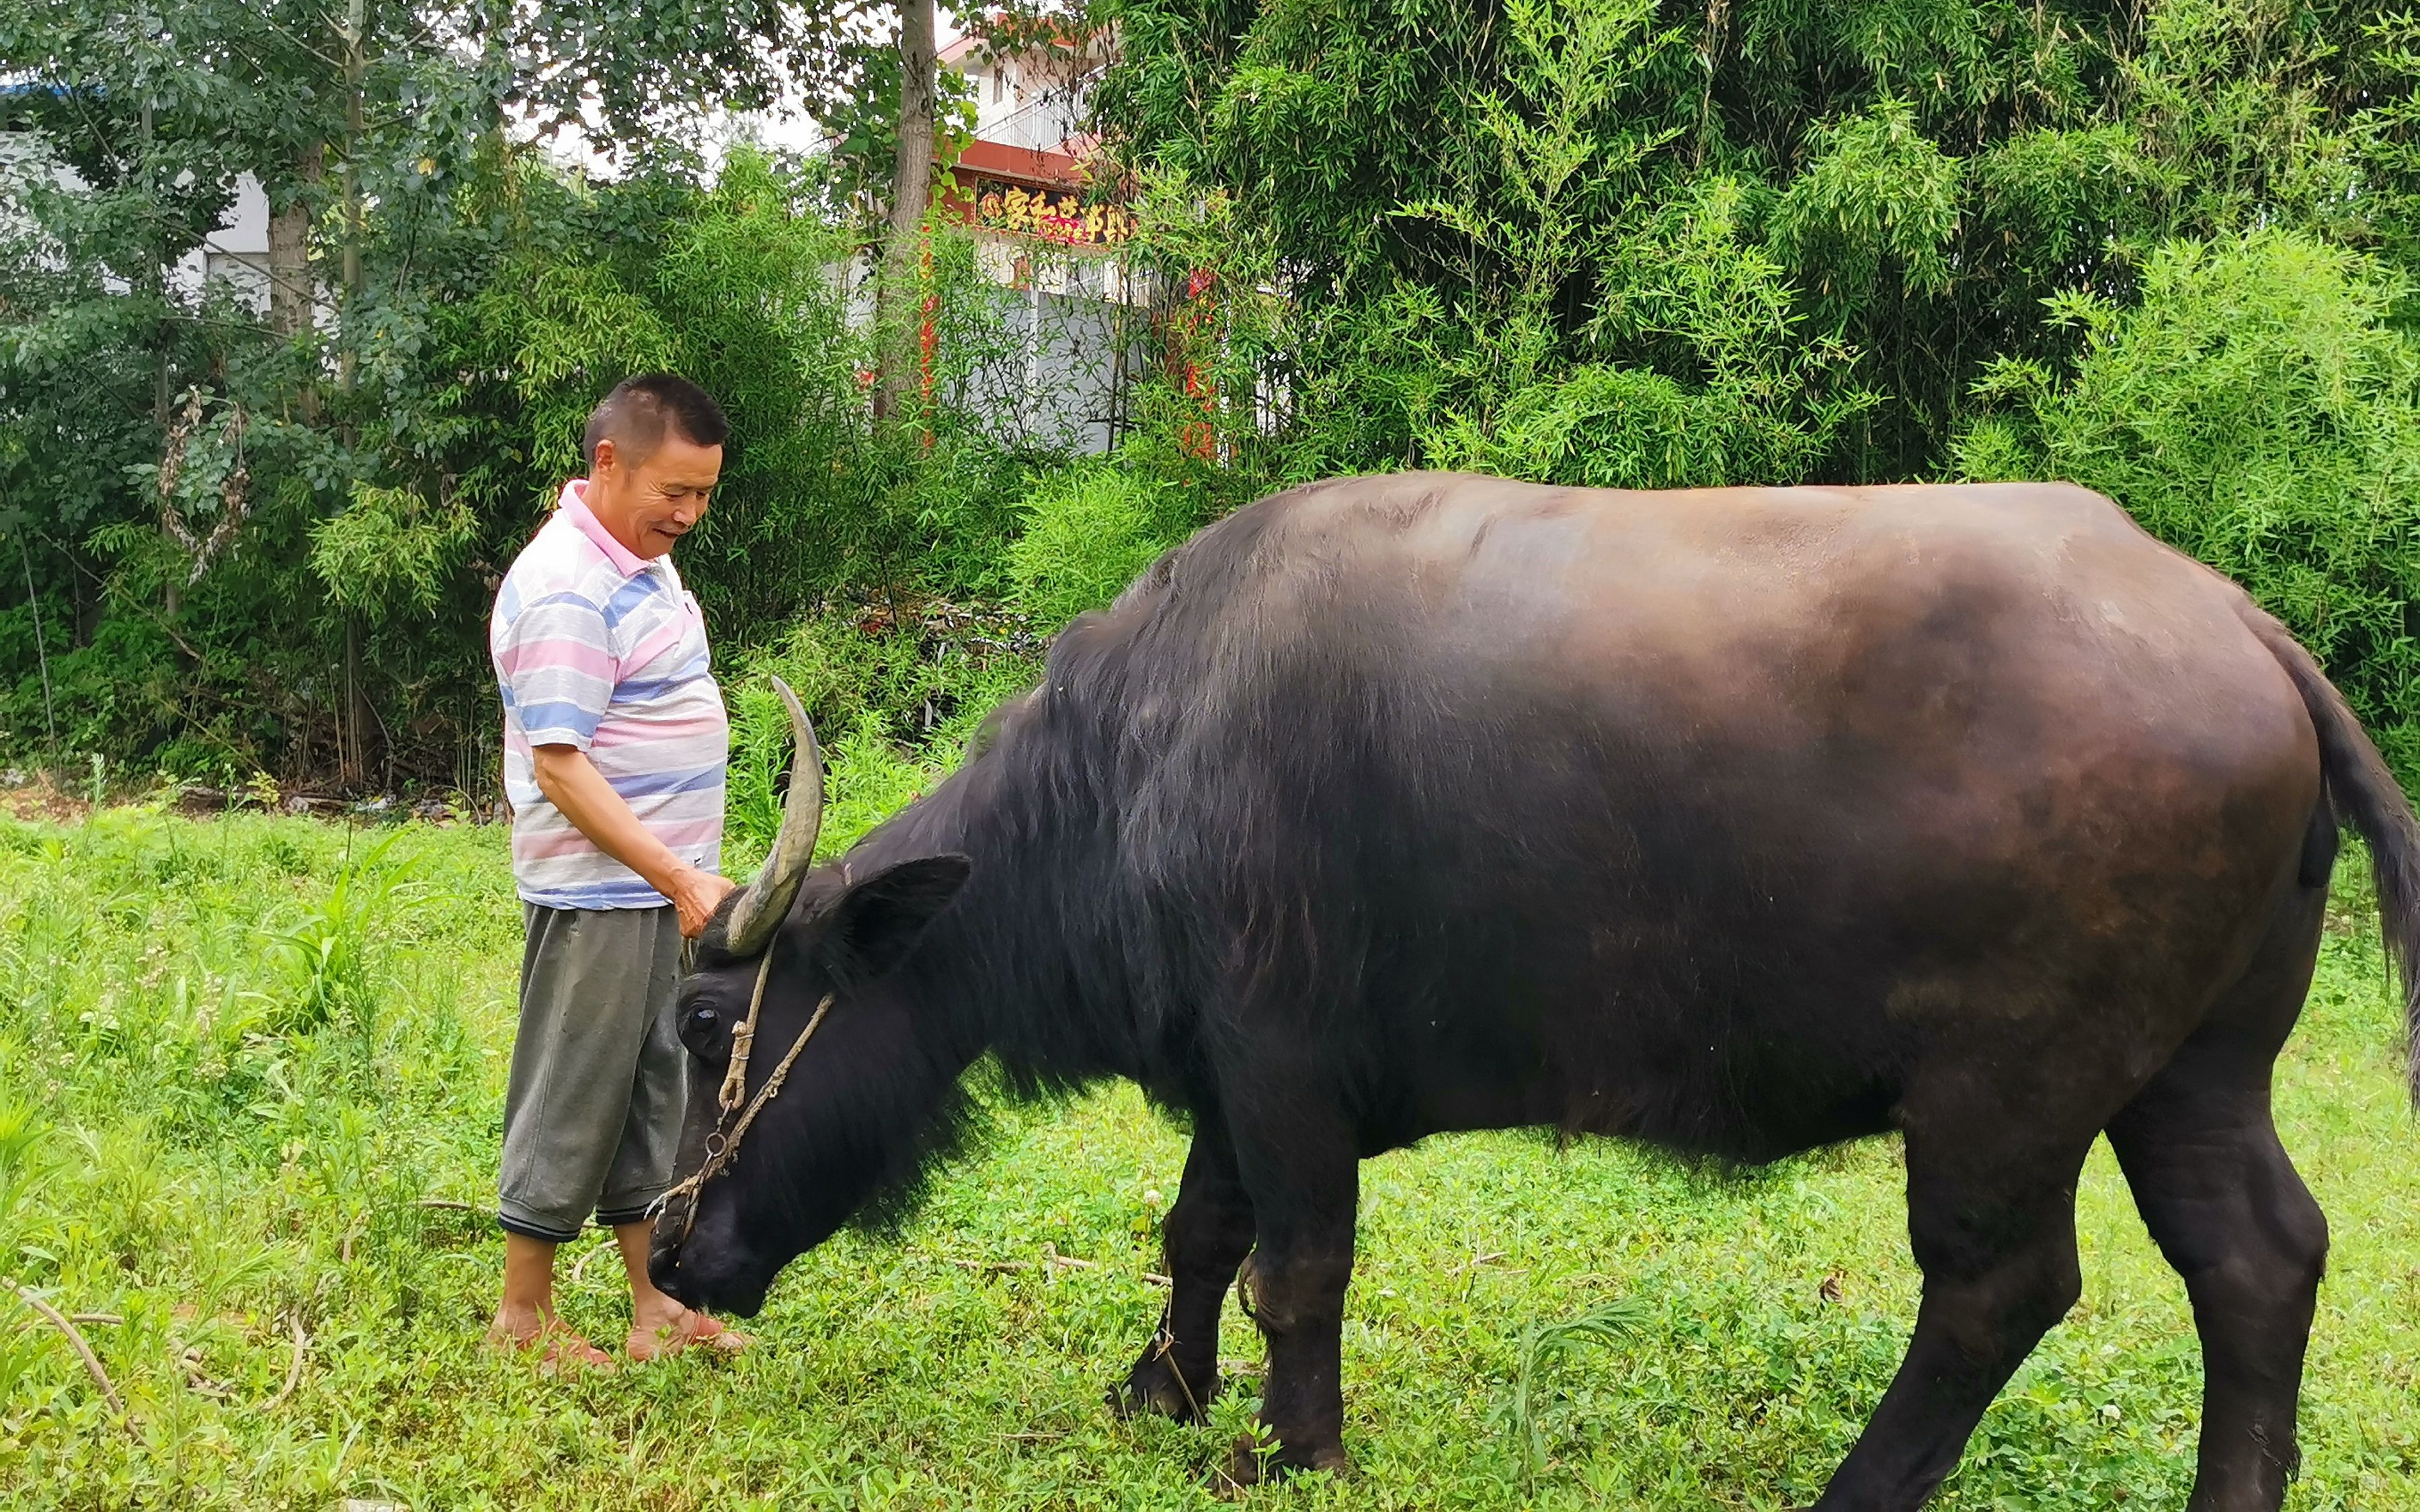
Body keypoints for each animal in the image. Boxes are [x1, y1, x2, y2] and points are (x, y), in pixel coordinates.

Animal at [653, 474, 2410, 1509]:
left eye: (706, 1022)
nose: (668, 1250)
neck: (1140, 763)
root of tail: (2238, 624)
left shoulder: (1284, 1068)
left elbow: (1296, 1267)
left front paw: (1299, 1445)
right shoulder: (1232, 1067)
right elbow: (1199, 1232)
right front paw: (1161, 1390)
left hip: (2010, 1094)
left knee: (2001, 1288)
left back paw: (1855, 1490)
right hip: (2197, 1068)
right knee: (2257, 1258)